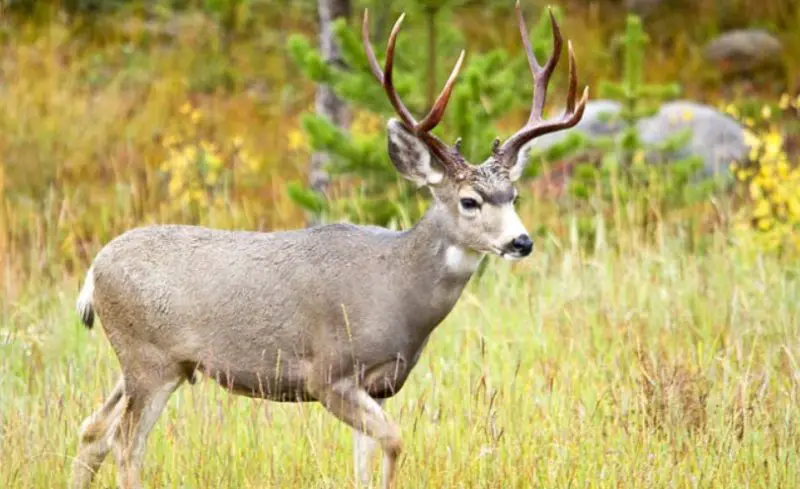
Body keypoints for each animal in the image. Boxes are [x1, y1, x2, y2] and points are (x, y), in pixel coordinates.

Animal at [69, 3, 587, 489]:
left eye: (513, 195)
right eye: (469, 201)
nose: (522, 241)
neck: (398, 288)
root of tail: (93, 272)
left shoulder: (375, 385)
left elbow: (364, 461)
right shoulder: (329, 374)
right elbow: (395, 440)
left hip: (148, 363)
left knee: (92, 430)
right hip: (149, 358)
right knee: (125, 444)